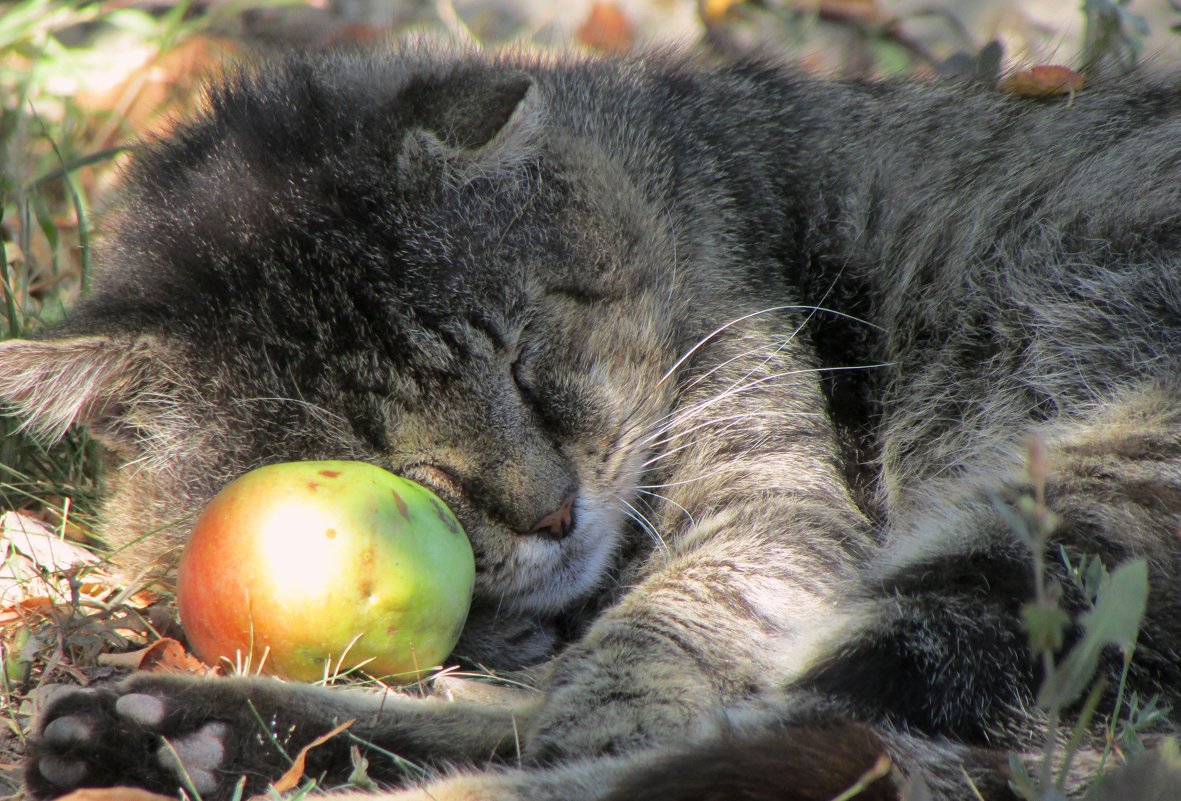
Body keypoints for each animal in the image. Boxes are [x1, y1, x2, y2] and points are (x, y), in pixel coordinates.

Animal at [6, 37, 1181, 801]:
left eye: (526, 358)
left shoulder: (764, 501)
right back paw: (163, 733)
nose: (552, 513)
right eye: (389, 471)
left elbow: (649, 647)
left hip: (1065, 511)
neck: (683, 183)